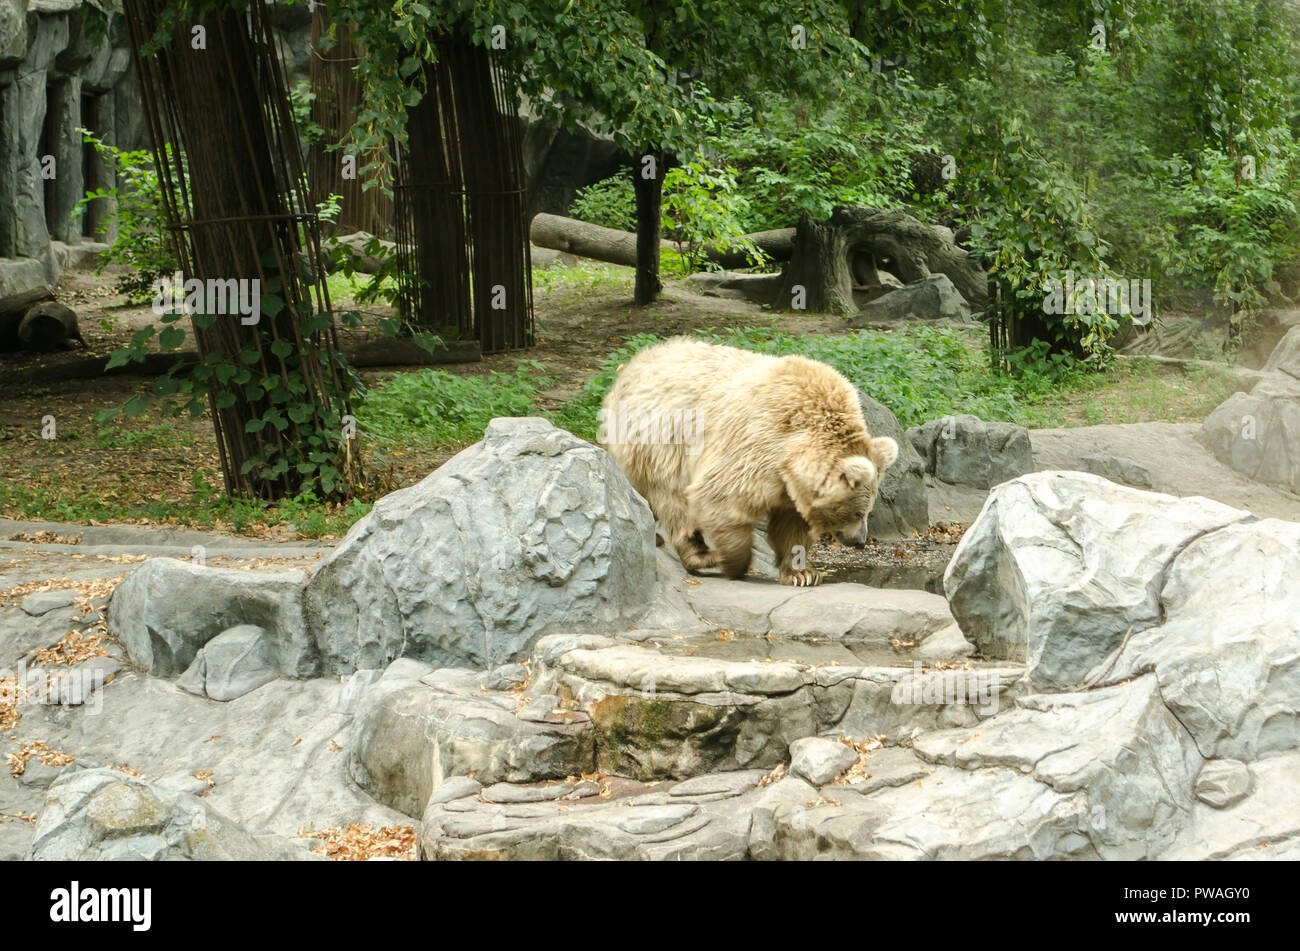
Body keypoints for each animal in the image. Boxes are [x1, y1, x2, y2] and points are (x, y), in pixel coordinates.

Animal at [598, 337, 899, 586]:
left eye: (868, 510)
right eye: (859, 512)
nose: (860, 541)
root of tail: (634, 363)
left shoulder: (791, 484)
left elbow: (792, 525)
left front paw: (802, 572)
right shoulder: (756, 444)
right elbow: (721, 497)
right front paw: (734, 563)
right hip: (660, 440)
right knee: (672, 500)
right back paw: (698, 554)